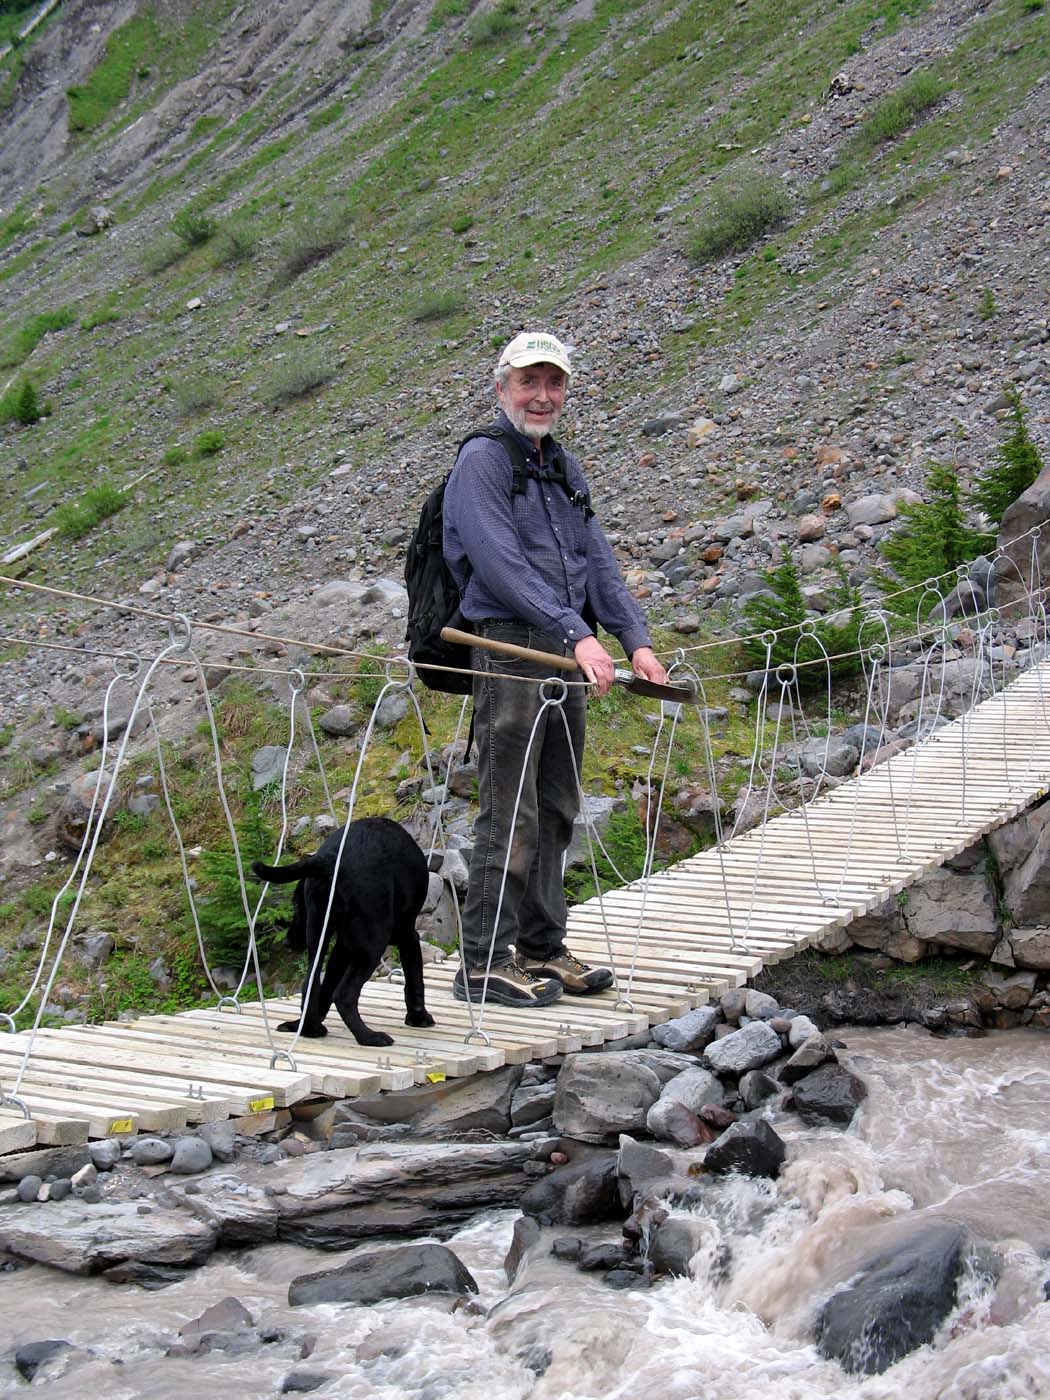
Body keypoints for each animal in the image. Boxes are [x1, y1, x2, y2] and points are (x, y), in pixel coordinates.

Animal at [253, 817, 434, 1047]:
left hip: (319, 937)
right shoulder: (408, 935)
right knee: (344, 995)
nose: (287, 942)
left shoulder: (343, 947)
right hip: (373, 943)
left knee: (310, 984)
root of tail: (329, 860)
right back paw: (368, 1036)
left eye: (296, 905)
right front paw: (419, 1017)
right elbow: (414, 980)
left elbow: (326, 987)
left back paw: (310, 1029)